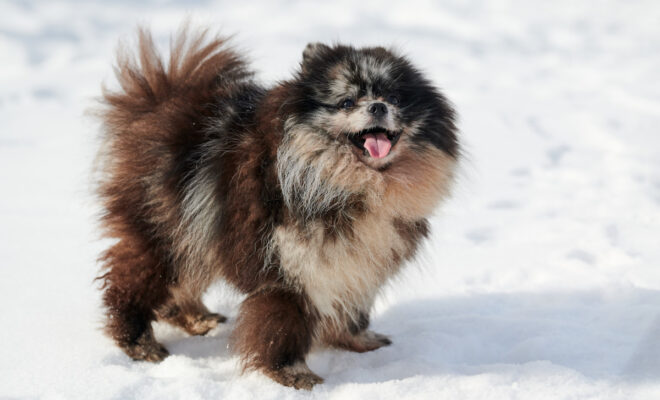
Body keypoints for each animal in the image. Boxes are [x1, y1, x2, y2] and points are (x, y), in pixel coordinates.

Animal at [96, 26, 458, 390]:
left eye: (395, 99)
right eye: (346, 102)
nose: (379, 106)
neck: (354, 186)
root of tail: (165, 99)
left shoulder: (357, 260)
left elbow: (351, 308)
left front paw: (357, 340)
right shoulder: (289, 267)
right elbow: (284, 327)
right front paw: (294, 374)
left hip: (196, 232)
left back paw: (196, 318)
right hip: (166, 228)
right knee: (133, 280)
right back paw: (140, 343)